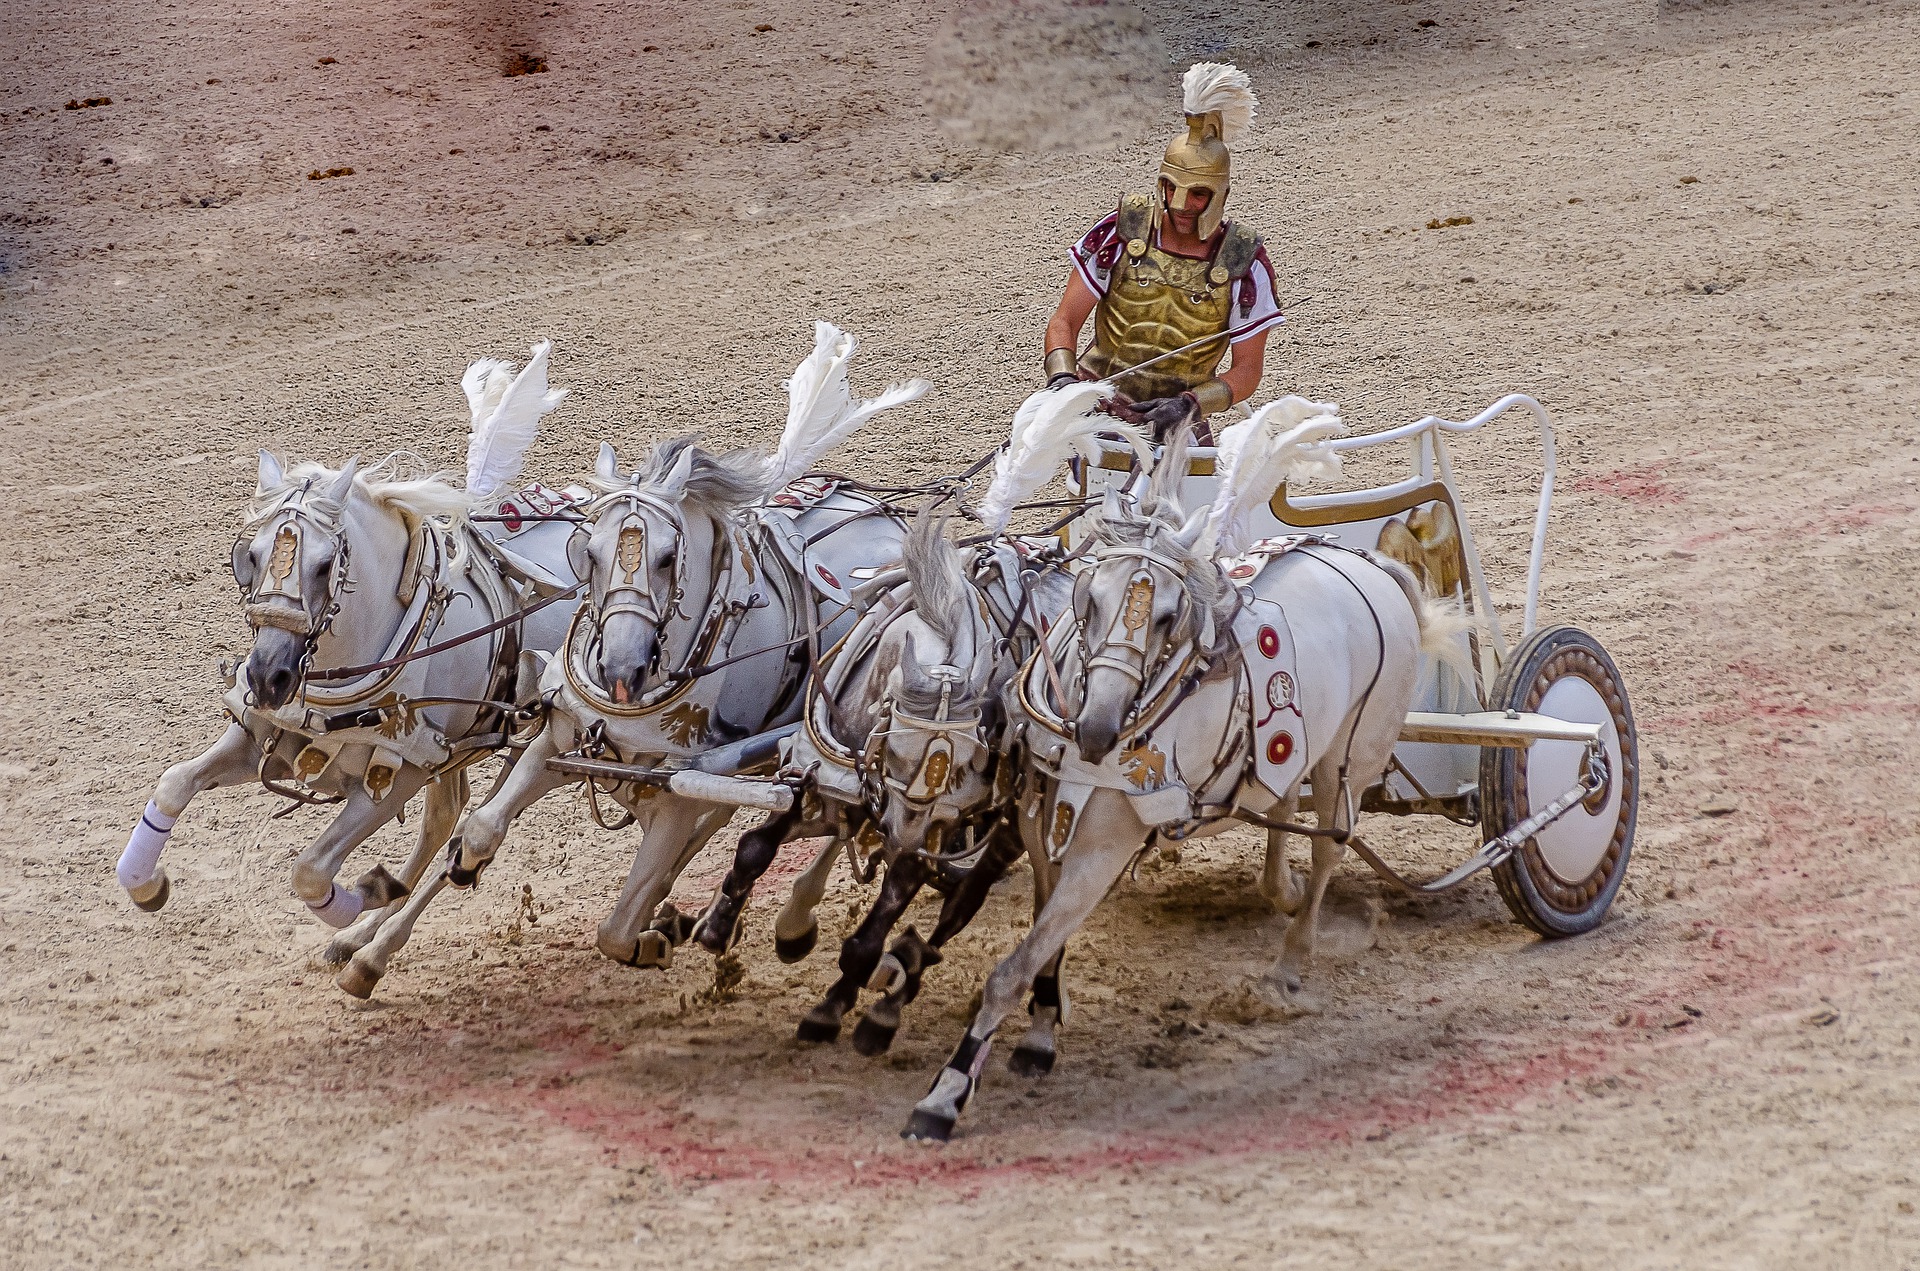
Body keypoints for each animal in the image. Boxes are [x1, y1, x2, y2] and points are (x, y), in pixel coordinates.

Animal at [116, 343, 579, 959]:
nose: (267, 676)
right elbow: (172, 783)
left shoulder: (398, 773)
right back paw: (362, 943)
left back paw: (372, 945)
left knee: (470, 831)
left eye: (322, 565)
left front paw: (373, 888)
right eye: (248, 556)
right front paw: (146, 884)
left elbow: (311, 870)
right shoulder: (262, 737)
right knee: (450, 821)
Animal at [347, 320, 944, 998]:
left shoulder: (686, 776)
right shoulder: (561, 735)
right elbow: (477, 831)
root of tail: (895, 528)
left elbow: (616, 925)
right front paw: (375, 945)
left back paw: (775, 919)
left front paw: (650, 939)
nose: (620, 670)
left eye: (665, 557)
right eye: (590, 552)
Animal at [898, 408, 1451, 1144]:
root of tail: (1373, 565)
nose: (1098, 731)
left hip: (1353, 757)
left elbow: (1012, 969)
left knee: (1332, 844)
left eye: (1166, 614)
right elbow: (1045, 944)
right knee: (1284, 803)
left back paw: (1291, 962)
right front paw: (1041, 1033)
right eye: (1088, 599)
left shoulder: (1103, 848)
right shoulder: (1043, 826)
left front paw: (944, 1095)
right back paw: (1280, 889)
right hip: (1298, 743)